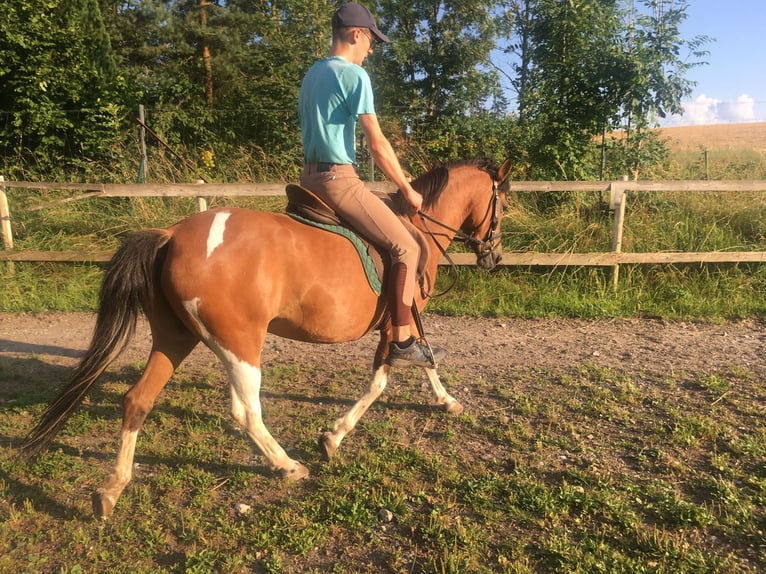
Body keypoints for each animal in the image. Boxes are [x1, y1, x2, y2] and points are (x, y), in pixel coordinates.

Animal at [21, 159, 512, 520]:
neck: (416, 225)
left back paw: (111, 490)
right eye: (502, 205)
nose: (495, 256)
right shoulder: (399, 323)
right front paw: (335, 436)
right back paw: (287, 465)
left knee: (137, 400)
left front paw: (445, 401)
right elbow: (389, 376)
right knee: (245, 411)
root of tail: (171, 234)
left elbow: (420, 365)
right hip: (241, 344)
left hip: (176, 339)